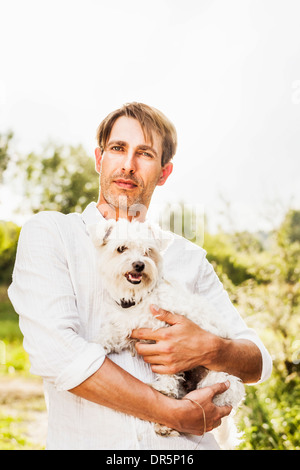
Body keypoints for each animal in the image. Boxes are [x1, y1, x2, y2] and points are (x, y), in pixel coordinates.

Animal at [88, 218, 245, 450]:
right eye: (121, 248)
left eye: (148, 251)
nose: (139, 264)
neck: (140, 298)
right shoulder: (123, 327)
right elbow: (107, 336)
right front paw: (93, 347)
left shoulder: (168, 338)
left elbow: (169, 375)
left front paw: (164, 388)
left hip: (216, 380)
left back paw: (166, 423)